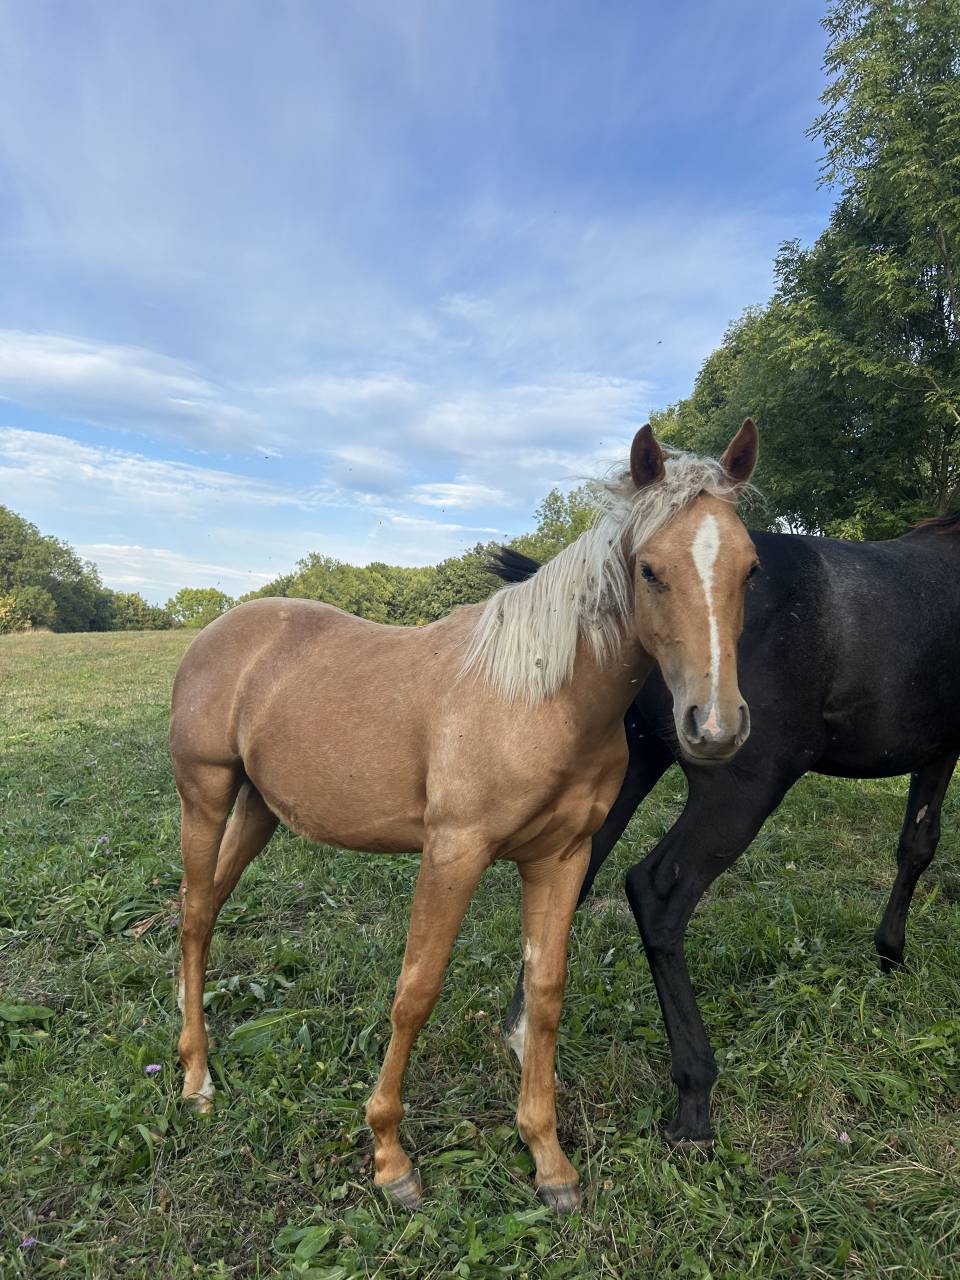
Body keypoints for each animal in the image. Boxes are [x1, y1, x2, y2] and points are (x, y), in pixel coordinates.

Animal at [169, 421, 759, 1213]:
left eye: (750, 570)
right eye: (651, 571)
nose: (714, 727)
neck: (538, 696)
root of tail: (220, 630)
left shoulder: (562, 858)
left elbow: (545, 994)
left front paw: (548, 1160)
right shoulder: (454, 852)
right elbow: (415, 993)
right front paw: (390, 1157)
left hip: (258, 811)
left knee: (204, 910)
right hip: (204, 796)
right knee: (196, 917)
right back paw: (196, 1080)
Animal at [496, 512, 960, 1146]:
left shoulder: (937, 750)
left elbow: (916, 843)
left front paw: (889, 953)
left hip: (632, 765)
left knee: (571, 880)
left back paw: (524, 1040)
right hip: (740, 788)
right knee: (657, 892)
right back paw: (695, 1096)